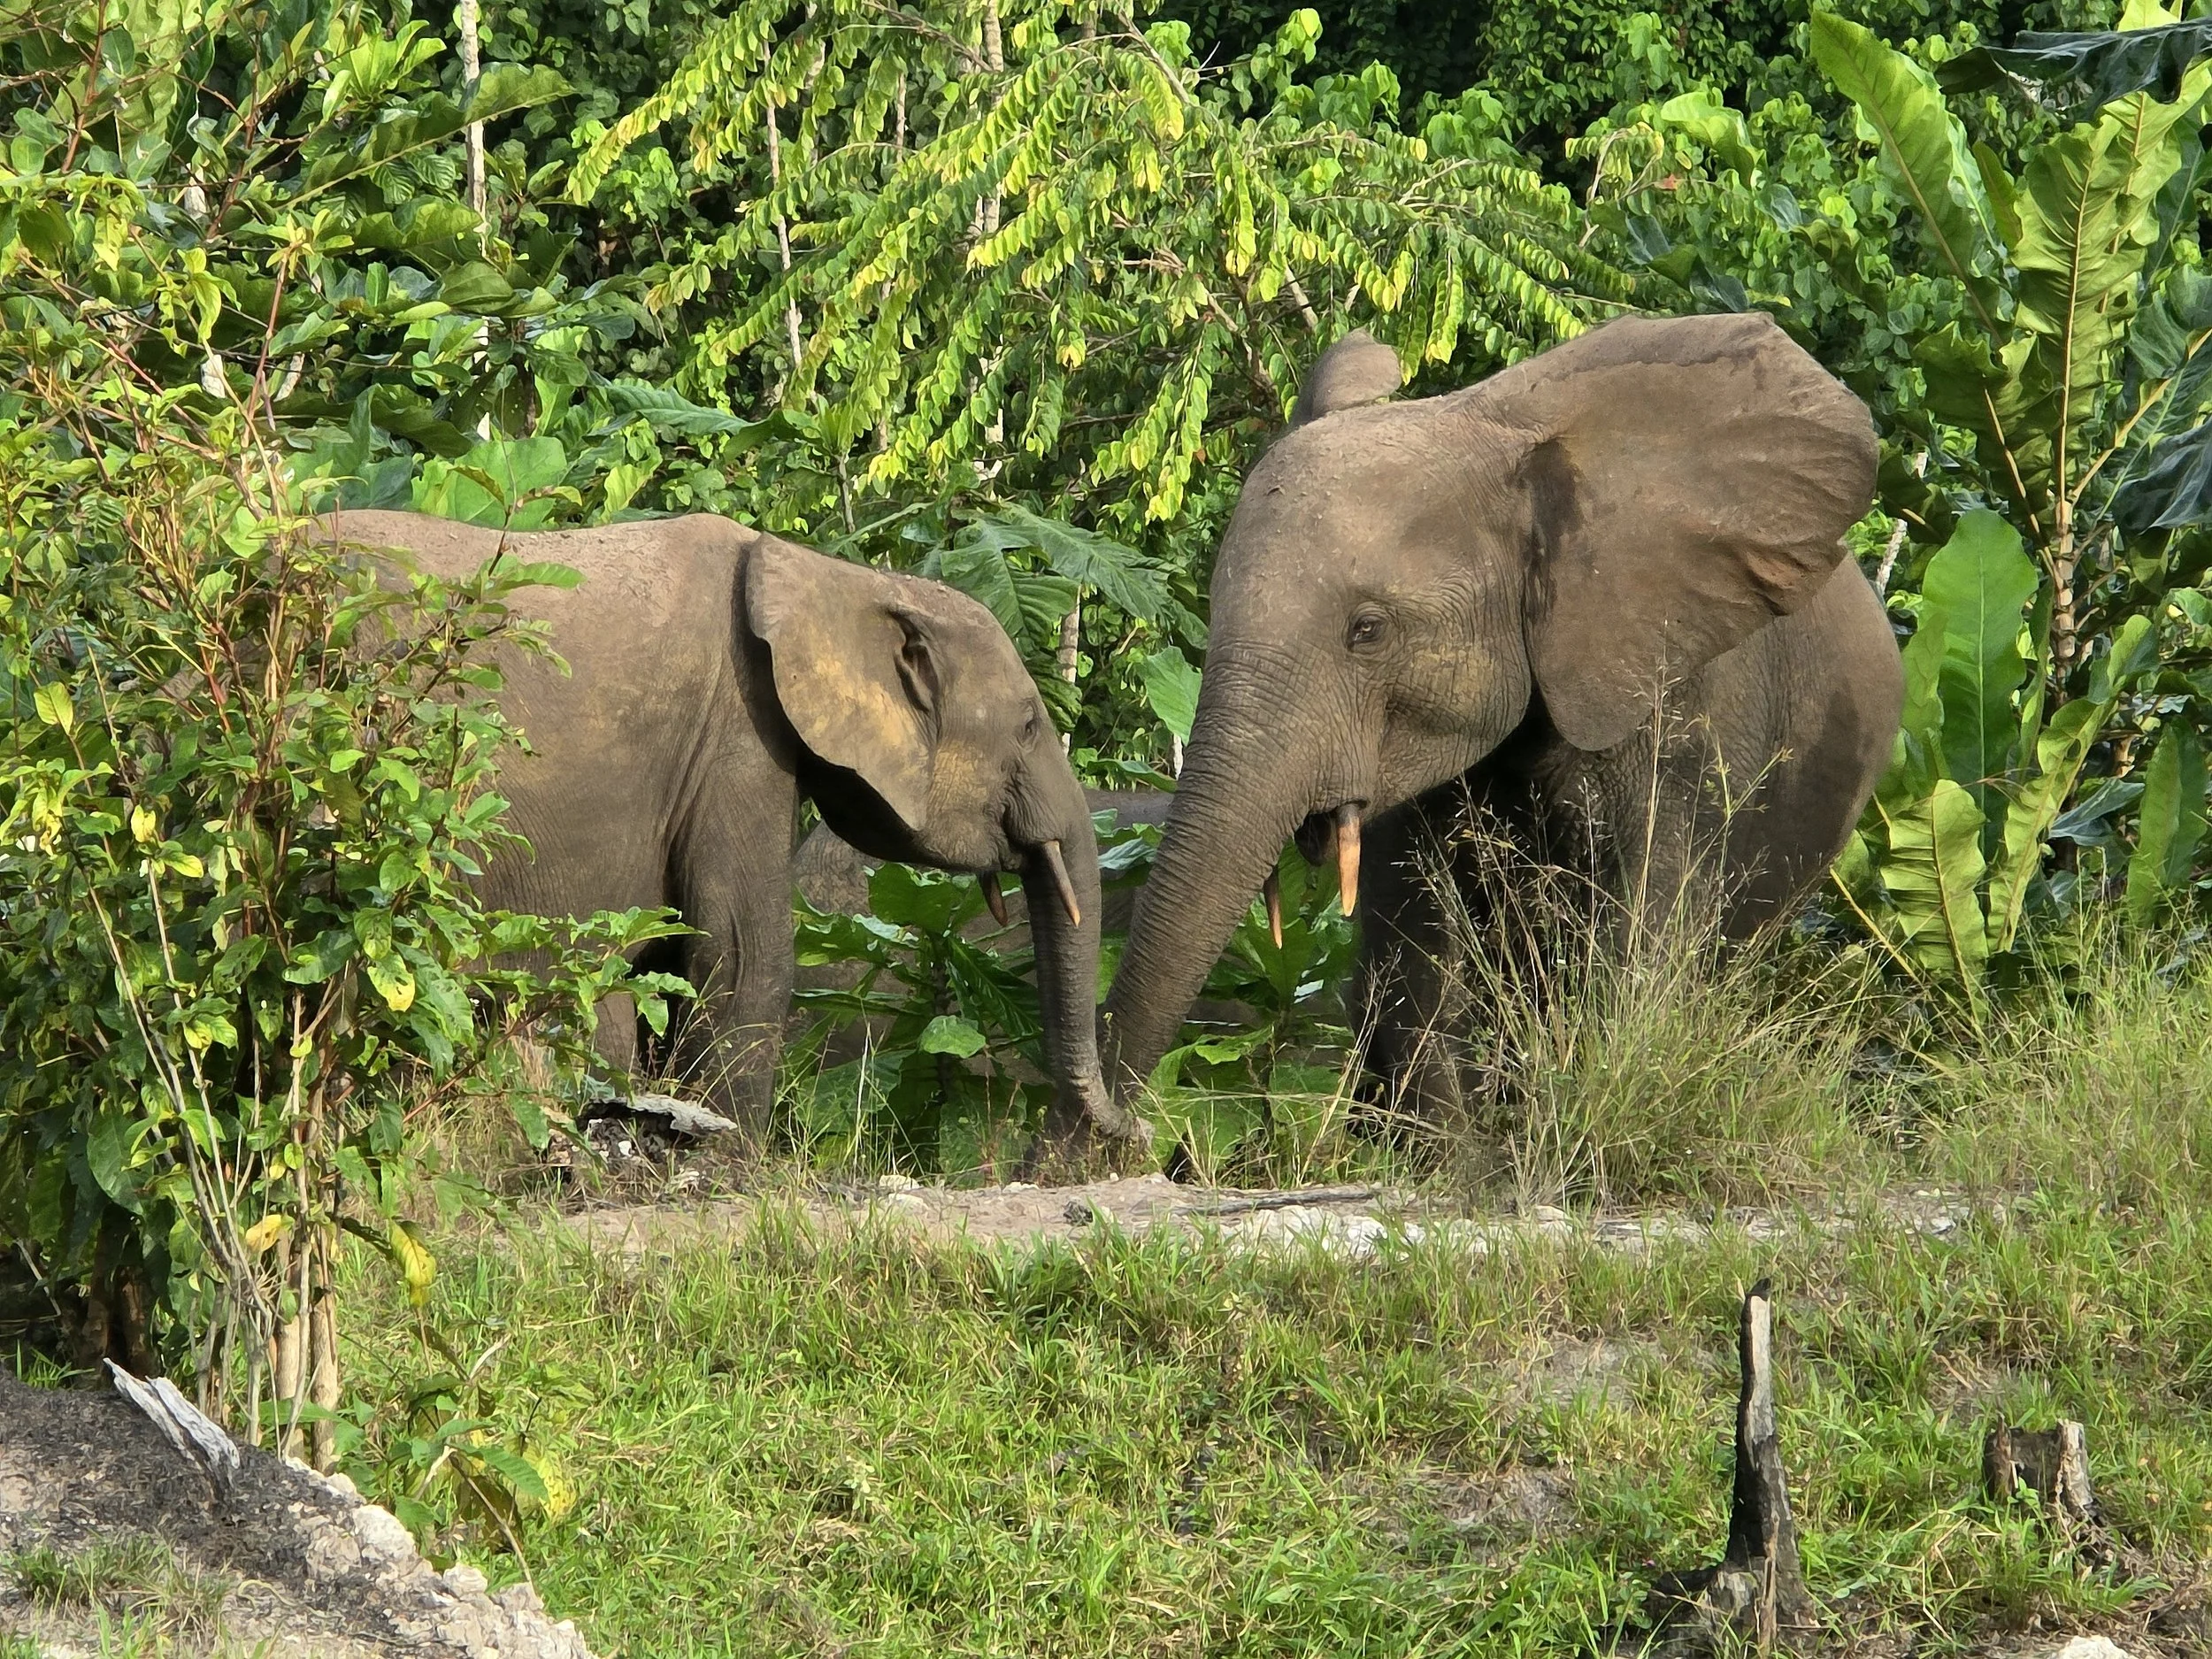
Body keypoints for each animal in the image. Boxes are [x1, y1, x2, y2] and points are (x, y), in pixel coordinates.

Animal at [316, 510, 1146, 1154]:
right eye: (1030, 725)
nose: (1127, 1133)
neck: (840, 580)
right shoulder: (740, 733)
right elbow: (745, 950)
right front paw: (731, 1161)